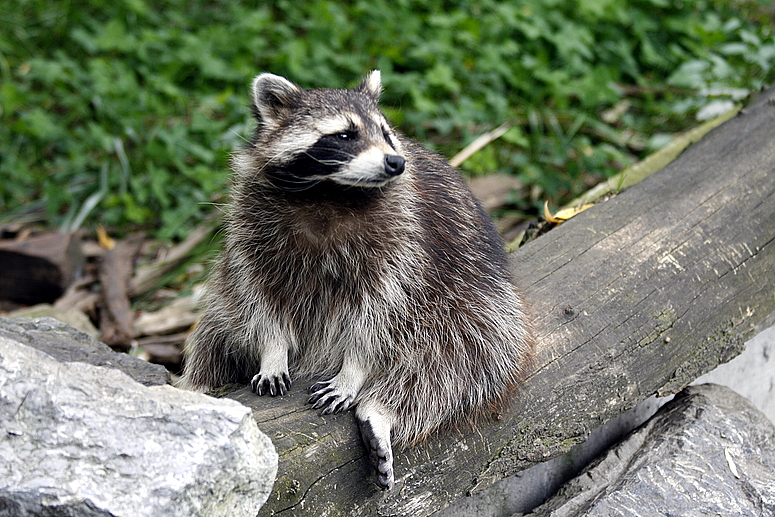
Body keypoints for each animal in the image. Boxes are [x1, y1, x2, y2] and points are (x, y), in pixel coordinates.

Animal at [180, 69, 536, 488]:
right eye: (345, 134)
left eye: (385, 132)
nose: (396, 162)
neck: (330, 192)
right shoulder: (253, 224)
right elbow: (259, 297)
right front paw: (273, 349)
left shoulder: (404, 242)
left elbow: (379, 317)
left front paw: (353, 371)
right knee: (214, 335)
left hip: (475, 302)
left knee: (462, 362)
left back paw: (381, 410)